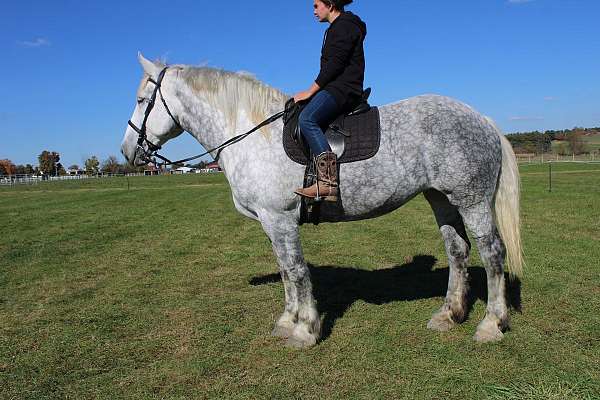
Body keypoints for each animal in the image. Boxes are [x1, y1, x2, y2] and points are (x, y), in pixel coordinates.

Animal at [123, 54, 524, 348]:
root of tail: (482, 119)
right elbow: (286, 271)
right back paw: (449, 314)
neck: (252, 134)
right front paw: (287, 321)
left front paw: (305, 330)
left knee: (492, 254)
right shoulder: (272, 223)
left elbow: (298, 271)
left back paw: (491, 323)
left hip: (472, 201)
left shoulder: (280, 218)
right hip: (441, 199)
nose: (129, 151)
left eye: (142, 100)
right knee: (458, 252)